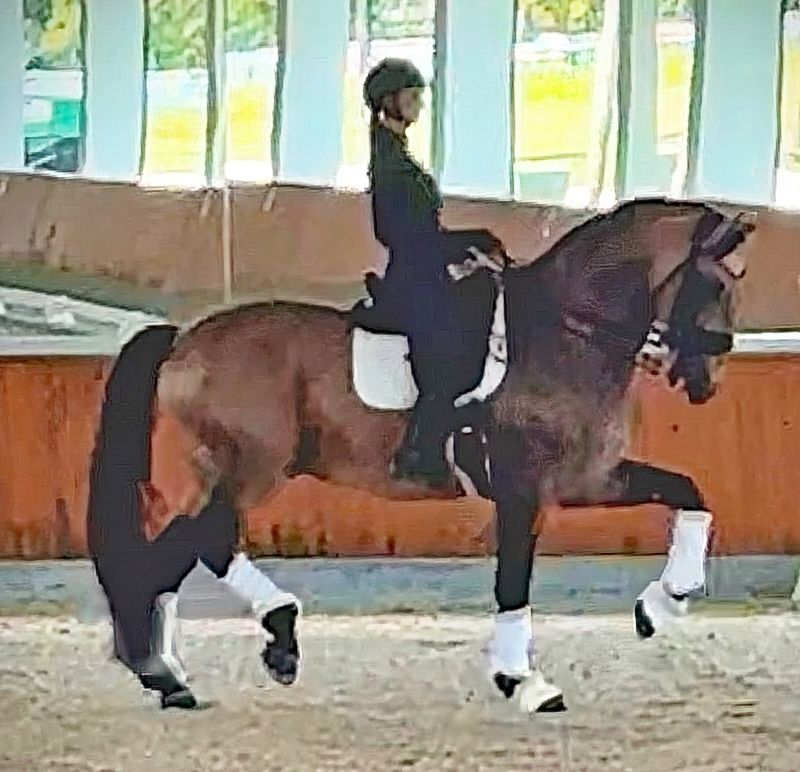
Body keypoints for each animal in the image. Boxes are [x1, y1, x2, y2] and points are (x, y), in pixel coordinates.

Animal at [87, 197, 755, 713]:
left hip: (224, 470)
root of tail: (184, 339)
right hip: (251, 467)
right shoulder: (523, 491)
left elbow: (689, 492)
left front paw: (662, 606)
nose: (709, 377)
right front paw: (523, 681)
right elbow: (513, 582)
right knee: (206, 540)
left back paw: (167, 675)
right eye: (715, 282)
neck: (568, 336)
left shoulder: (590, 479)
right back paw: (267, 638)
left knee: (175, 551)